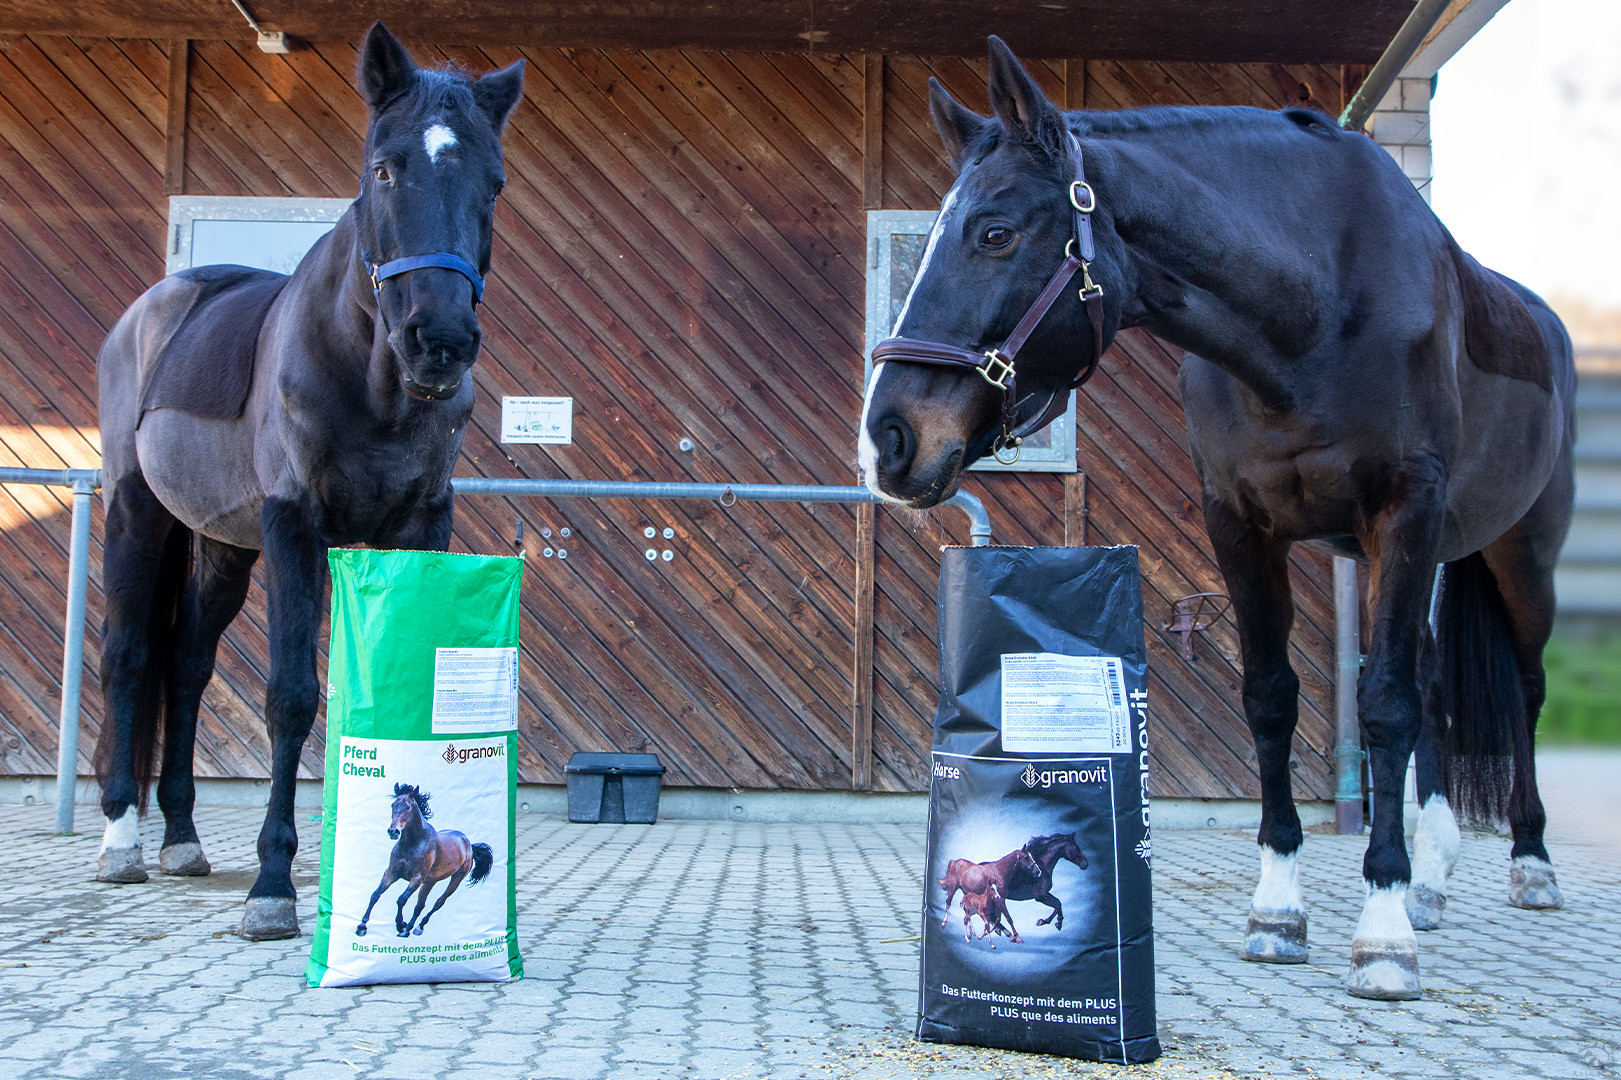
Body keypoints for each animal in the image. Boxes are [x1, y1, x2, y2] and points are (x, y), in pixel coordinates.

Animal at [356, 783, 493, 938]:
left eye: (408, 807)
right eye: (393, 805)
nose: (393, 832)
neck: (413, 843)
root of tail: (469, 845)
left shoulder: (417, 877)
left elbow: (401, 899)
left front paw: (399, 924)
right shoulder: (392, 872)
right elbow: (375, 895)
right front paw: (362, 925)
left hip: (456, 878)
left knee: (439, 902)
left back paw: (417, 927)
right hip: (430, 882)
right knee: (420, 906)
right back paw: (409, 928)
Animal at [862, 38, 1574, 1001]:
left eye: (995, 232)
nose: (888, 439)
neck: (1317, 307)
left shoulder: (1403, 512)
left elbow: (1382, 705)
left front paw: (1381, 932)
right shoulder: (1240, 527)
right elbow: (1270, 699)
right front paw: (1278, 911)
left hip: (1516, 555)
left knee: (1519, 690)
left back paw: (1525, 865)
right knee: (1432, 689)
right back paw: (1429, 880)